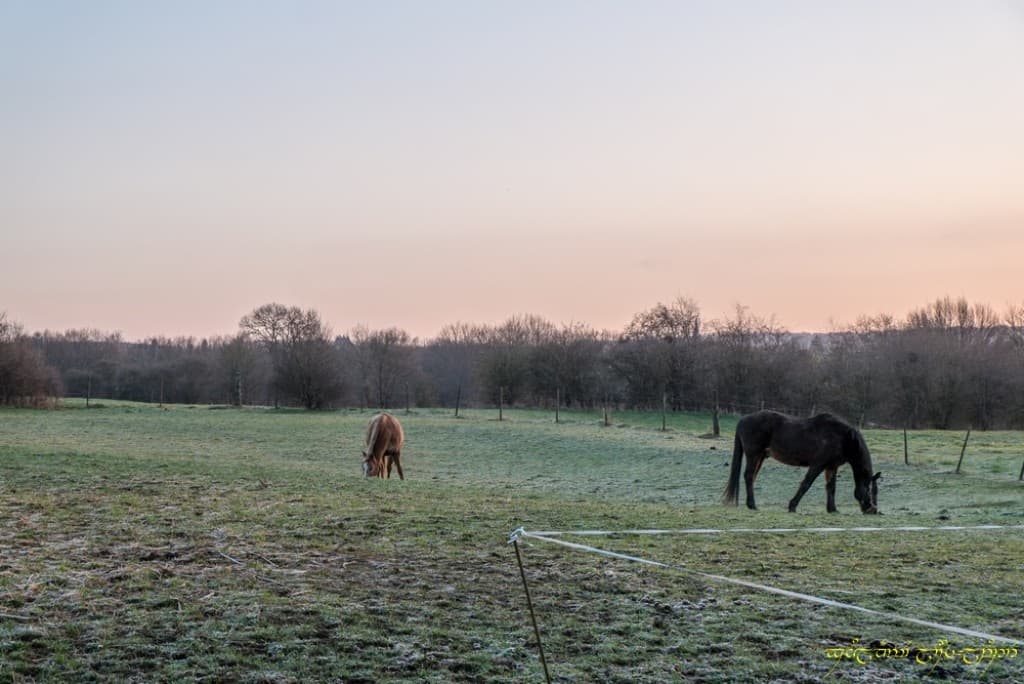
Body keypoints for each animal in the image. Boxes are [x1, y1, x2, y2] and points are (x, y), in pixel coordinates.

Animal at [723, 410, 880, 514]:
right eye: (868, 488)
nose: (872, 509)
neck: (843, 437)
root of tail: (743, 420)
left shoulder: (831, 467)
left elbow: (831, 487)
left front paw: (832, 509)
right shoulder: (817, 465)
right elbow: (806, 484)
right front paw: (792, 506)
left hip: (760, 457)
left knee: (751, 477)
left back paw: (750, 504)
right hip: (753, 455)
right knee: (749, 476)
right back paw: (752, 505)